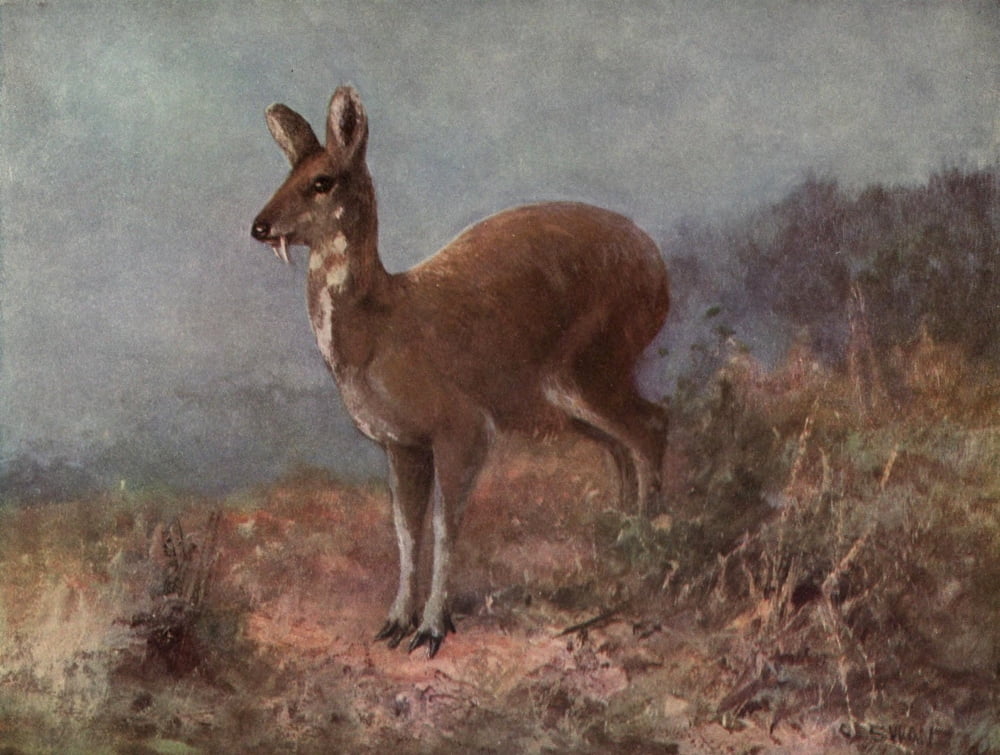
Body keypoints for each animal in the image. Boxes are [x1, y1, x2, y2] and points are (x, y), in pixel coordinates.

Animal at [251, 86, 670, 658]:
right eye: (286, 172)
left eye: (321, 181)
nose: (259, 226)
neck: (379, 331)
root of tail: (659, 271)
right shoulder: (400, 442)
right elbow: (406, 529)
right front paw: (394, 622)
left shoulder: (463, 425)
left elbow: (446, 525)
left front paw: (431, 629)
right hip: (561, 400)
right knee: (622, 446)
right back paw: (614, 540)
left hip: (592, 365)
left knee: (652, 425)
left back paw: (648, 547)